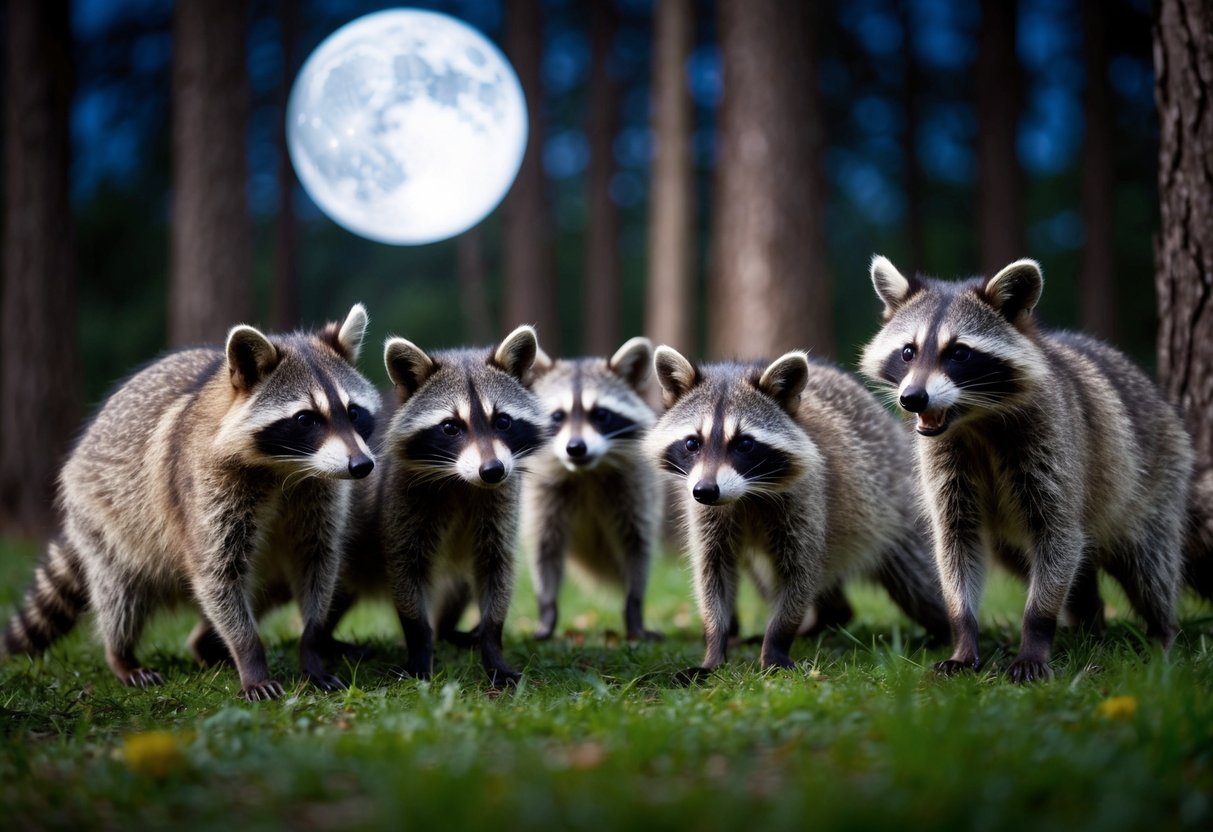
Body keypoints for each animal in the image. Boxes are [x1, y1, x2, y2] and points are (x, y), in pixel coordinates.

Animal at [1, 305, 379, 700]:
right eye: (305, 419)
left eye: (353, 412)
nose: (361, 466)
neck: (286, 468)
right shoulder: (204, 485)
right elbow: (217, 572)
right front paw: (250, 656)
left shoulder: (319, 496)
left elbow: (317, 561)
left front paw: (312, 646)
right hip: (104, 518)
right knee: (120, 594)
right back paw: (121, 654)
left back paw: (206, 645)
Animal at [364, 325, 545, 686]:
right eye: (450, 427)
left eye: (503, 421)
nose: (492, 470)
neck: (463, 481)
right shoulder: (402, 502)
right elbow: (405, 571)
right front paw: (420, 648)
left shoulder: (501, 505)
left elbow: (497, 569)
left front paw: (492, 648)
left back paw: (450, 632)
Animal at [521, 337, 663, 641]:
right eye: (557, 416)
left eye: (600, 415)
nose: (576, 448)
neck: (585, 473)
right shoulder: (542, 495)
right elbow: (544, 548)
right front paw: (547, 611)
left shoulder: (634, 491)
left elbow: (637, 548)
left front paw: (634, 609)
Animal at [647, 347, 950, 678]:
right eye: (692, 443)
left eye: (744, 444)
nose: (705, 491)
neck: (746, 494)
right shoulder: (706, 514)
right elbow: (713, 572)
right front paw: (715, 645)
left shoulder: (808, 498)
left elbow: (800, 573)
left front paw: (776, 643)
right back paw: (827, 619)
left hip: (897, 509)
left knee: (921, 583)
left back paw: (951, 630)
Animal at [859, 255, 1192, 682]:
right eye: (907, 352)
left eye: (959, 353)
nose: (913, 398)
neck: (974, 420)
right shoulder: (945, 465)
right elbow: (955, 544)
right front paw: (964, 637)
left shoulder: (1053, 448)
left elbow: (1058, 536)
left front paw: (1035, 635)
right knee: (1072, 572)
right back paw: (1090, 626)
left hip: (1158, 481)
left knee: (1151, 565)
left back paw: (1162, 632)